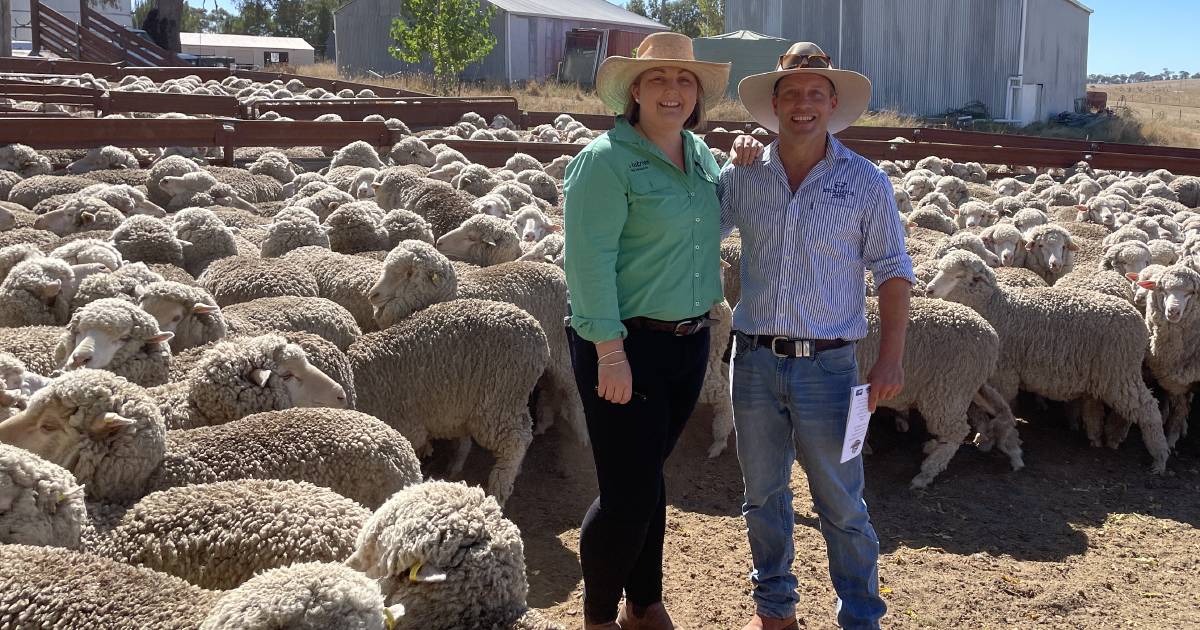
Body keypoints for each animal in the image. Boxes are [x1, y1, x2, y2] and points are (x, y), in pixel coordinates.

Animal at [350, 297, 549, 504]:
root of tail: (538, 336)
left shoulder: (404, 425)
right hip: (508, 399)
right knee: (525, 430)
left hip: (498, 400)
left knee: (515, 441)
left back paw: (498, 490)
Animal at [921, 250, 1166, 470]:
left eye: (958, 276)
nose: (929, 290)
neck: (997, 307)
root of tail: (1139, 321)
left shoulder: (1003, 375)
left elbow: (999, 409)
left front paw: (989, 439)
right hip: (1109, 374)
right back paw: (1098, 438)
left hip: (1119, 372)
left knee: (1148, 409)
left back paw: (1158, 457)